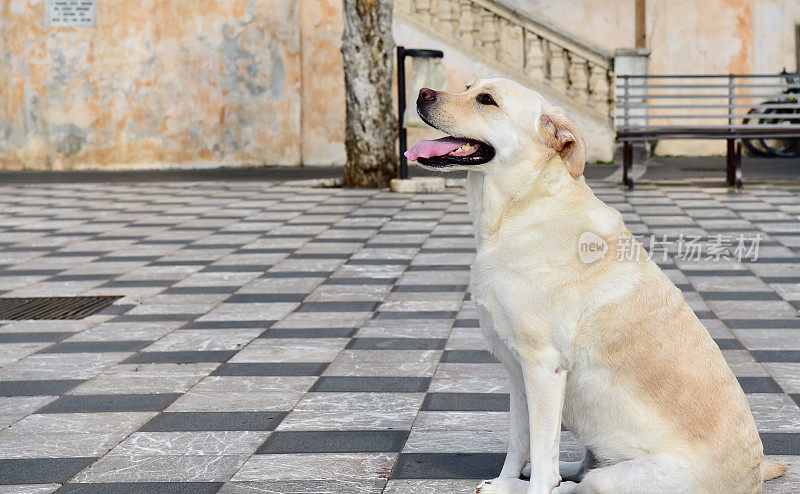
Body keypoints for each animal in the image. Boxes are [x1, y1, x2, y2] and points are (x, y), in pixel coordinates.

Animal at [406, 78, 788, 494]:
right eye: (468, 86)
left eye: (487, 100)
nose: (422, 93)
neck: (521, 208)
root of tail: (753, 478)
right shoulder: (517, 372)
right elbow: (518, 443)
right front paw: (505, 481)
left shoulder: (542, 368)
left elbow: (541, 459)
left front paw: (532, 485)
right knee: (578, 465)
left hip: (611, 480)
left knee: (579, 480)